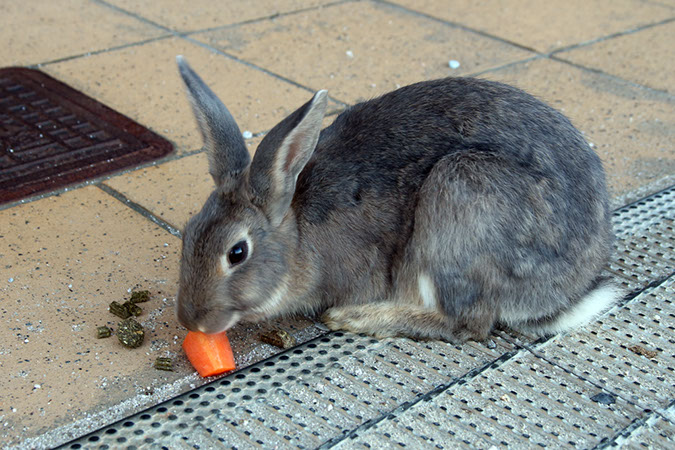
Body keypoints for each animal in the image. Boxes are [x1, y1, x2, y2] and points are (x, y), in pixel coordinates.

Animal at [174, 55, 621, 343]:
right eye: (188, 233)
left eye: (237, 252)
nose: (191, 320)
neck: (296, 229)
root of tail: (568, 289)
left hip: (462, 198)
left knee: (467, 326)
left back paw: (357, 318)